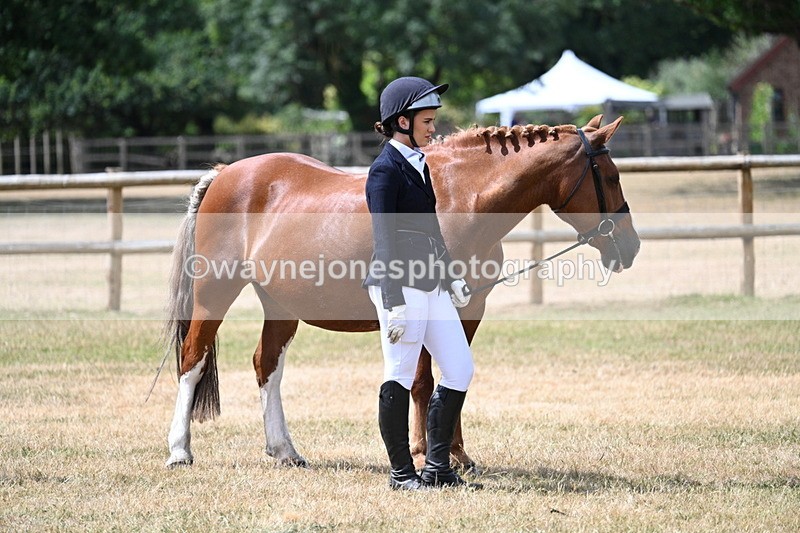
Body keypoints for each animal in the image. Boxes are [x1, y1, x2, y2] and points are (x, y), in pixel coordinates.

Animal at [163, 114, 640, 469]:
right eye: (610, 176)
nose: (630, 246)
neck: (461, 198)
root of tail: (226, 174)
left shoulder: (470, 308)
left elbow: (450, 376)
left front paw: (457, 454)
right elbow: (423, 382)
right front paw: (426, 453)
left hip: (280, 304)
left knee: (267, 366)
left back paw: (285, 450)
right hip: (215, 290)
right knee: (192, 359)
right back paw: (179, 450)